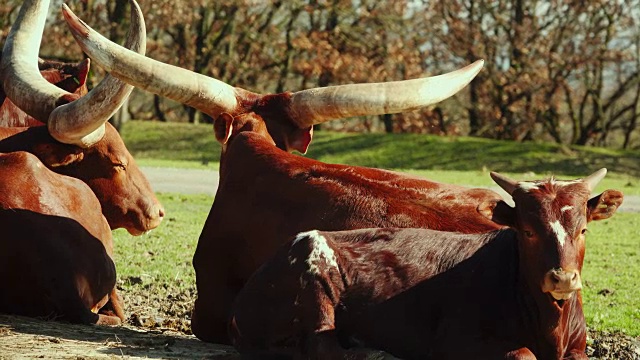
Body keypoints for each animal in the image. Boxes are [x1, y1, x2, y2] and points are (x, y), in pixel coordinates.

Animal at [228, 169, 624, 360]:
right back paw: (374, 354)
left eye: (583, 229)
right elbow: (523, 355)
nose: (562, 278)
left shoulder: (577, 348)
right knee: (320, 347)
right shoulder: (455, 341)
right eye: (527, 231)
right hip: (314, 277)